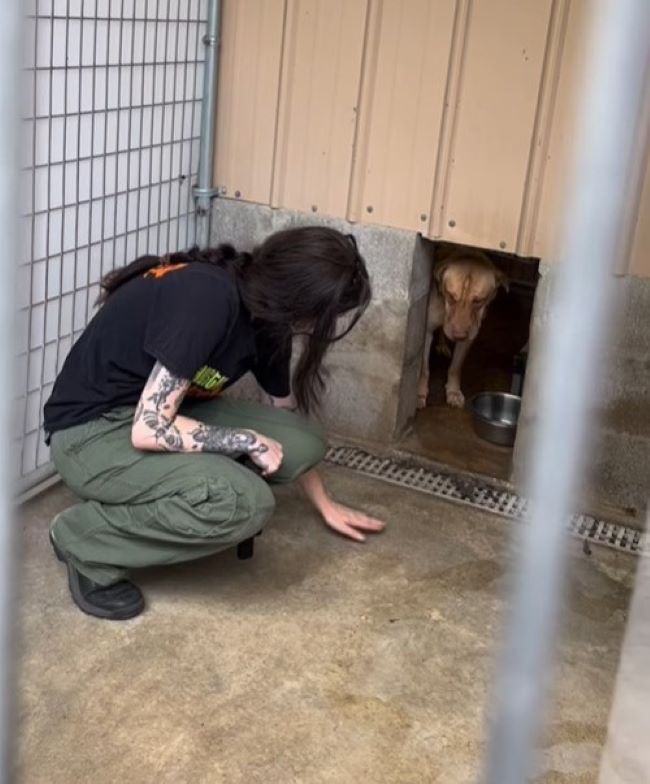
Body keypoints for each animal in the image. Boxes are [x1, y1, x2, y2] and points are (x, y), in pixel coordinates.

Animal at [416, 250, 506, 410]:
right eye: (451, 296)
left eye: (478, 301)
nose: (459, 335)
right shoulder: (426, 331)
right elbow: (423, 368)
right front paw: (420, 393)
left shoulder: (469, 337)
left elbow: (455, 367)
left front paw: (453, 392)